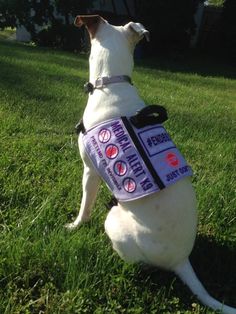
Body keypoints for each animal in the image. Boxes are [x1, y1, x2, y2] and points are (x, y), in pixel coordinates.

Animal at [67, 15, 236, 314]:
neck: (112, 84)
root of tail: (182, 260)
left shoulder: (90, 171)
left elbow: (85, 205)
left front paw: (76, 226)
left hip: (115, 222)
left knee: (138, 263)